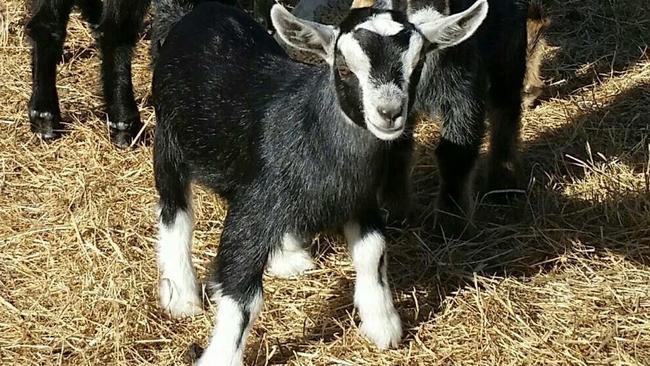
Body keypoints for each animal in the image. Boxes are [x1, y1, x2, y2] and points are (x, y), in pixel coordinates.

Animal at [152, 0, 486, 364]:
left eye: (418, 63)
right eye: (344, 68)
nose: (389, 112)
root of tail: (203, 13)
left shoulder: (361, 199)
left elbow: (373, 253)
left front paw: (382, 325)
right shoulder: (254, 205)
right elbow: (241, 287)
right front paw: (221, 356)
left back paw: (286, 257)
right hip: (167, 140)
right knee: (175, 211)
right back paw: (181, 294)